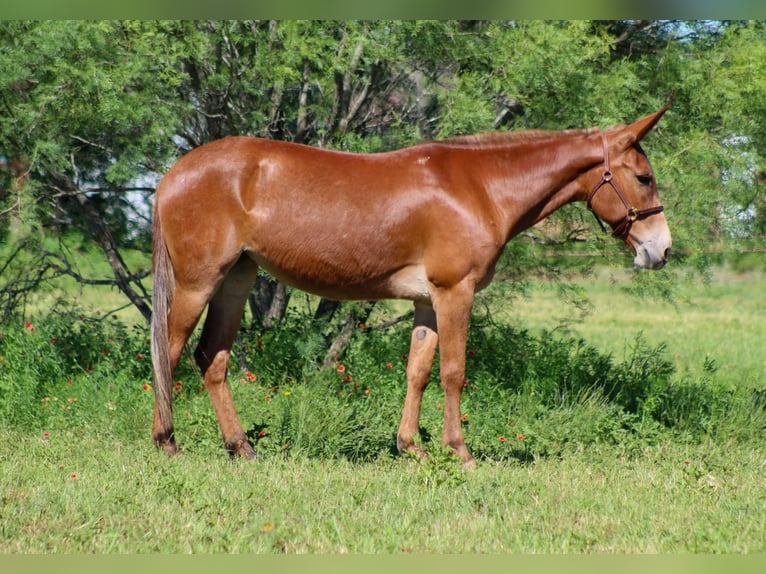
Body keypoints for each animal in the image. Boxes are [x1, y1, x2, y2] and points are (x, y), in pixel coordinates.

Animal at [151, 105, 672, 464]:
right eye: (644, 177)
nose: (661, 250)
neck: (481, 186)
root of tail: (173, 174)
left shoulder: (426, 301)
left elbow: (417, 371)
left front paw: (411, 448)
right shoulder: (454, 292)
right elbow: (453, 372)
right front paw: (459, 451)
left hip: (236, 279)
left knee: (211, 358)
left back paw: (240, 447)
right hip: (198, 283)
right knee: (169, 350)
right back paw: (167, 442)